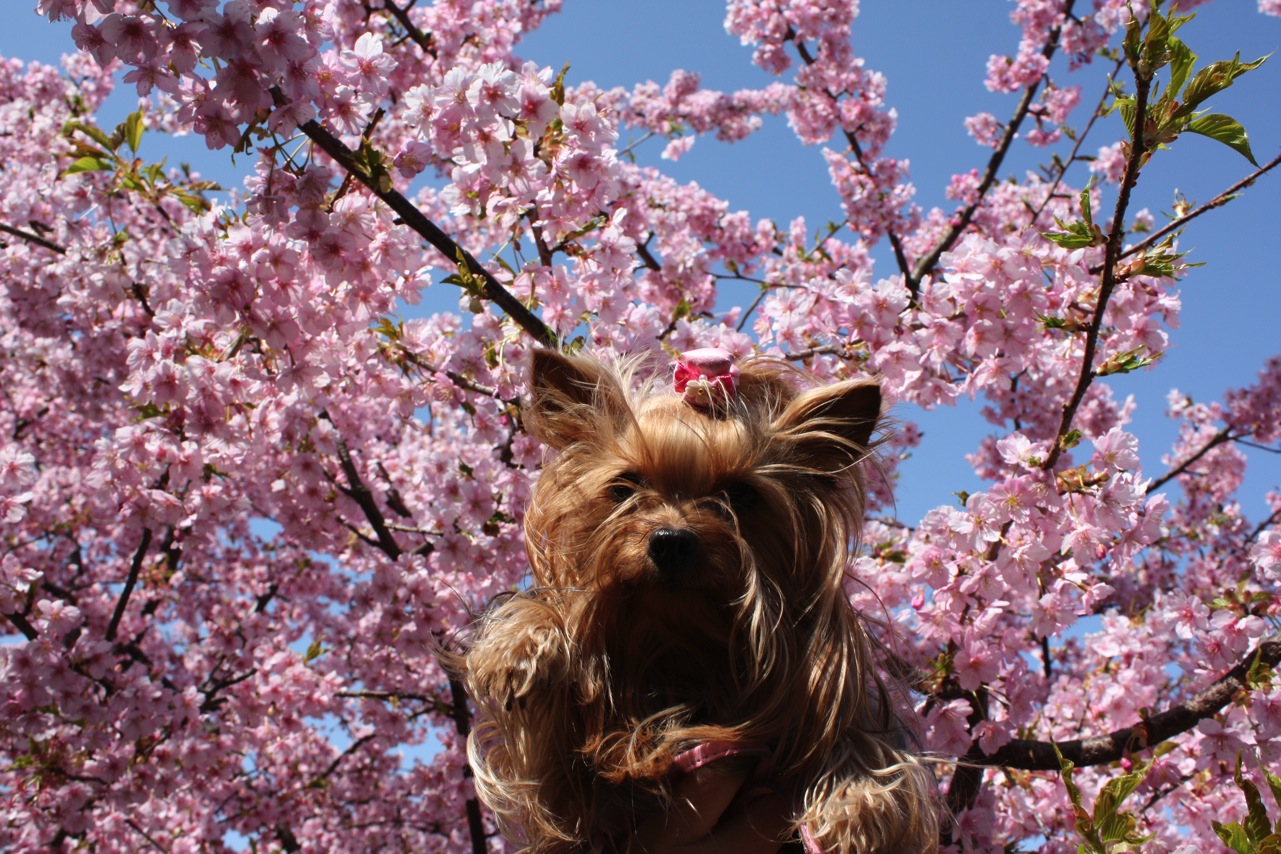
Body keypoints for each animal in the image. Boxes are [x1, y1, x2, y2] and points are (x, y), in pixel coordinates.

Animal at [466, 348, 937, 850]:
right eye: (625, 486)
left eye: (742, 494)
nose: (672, 541)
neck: (679, 648)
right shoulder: (576, 796)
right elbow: (553, 759)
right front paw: (520, 645)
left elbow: (850, 731)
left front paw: (858, 799)